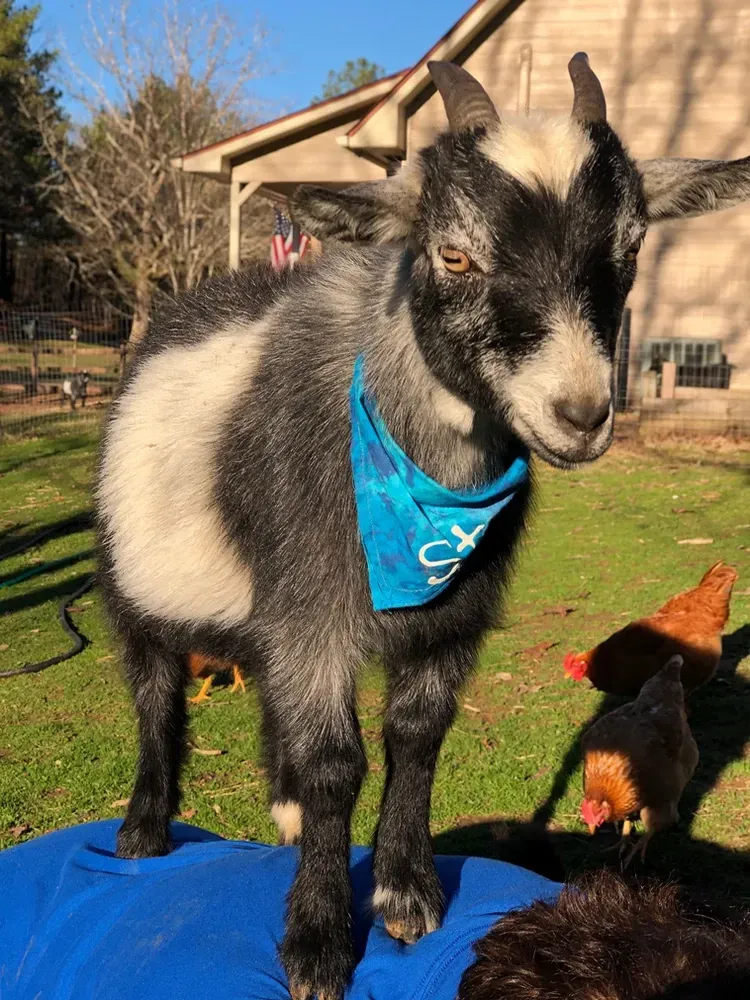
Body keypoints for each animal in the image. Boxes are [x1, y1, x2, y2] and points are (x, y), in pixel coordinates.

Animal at [96, 56, 750, 1000]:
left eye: (629, 251)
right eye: (453, 252)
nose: (582, 414)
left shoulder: (450, 621)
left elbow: (415, 737)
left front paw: (406, 893)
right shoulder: (315, 609)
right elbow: (338, 764)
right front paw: (318, 942)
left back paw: (283, 805)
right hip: (132, 583)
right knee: (153, 694)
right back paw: (145, 830)